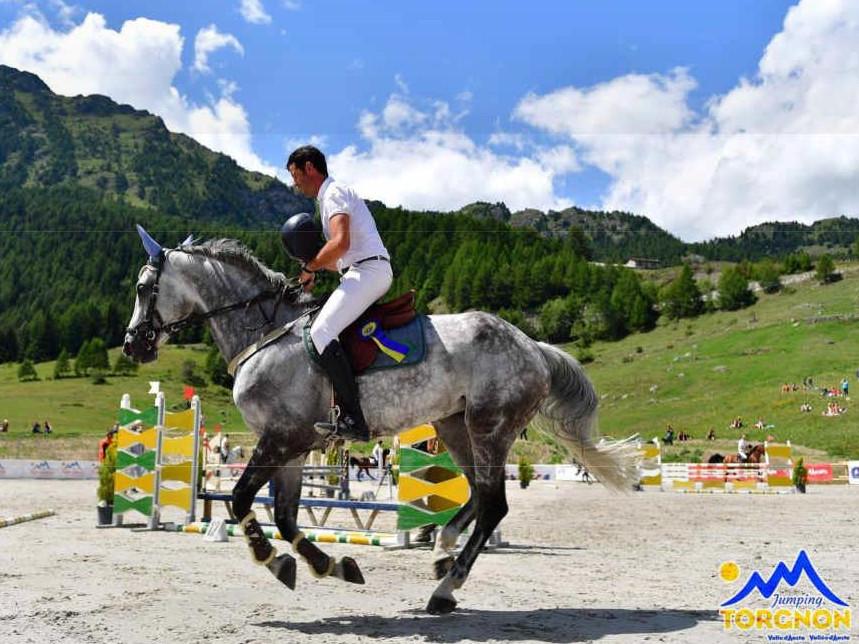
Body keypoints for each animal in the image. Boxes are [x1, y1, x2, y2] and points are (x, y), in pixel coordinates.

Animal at [124, 229, 640, 616]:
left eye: (143, 289)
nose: (133, 345)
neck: (265, 335)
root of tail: (534, 346)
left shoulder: (281, 438)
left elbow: (240, 499)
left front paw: (273, 561)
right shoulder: (291, 444)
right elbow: (286, 516)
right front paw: (328, 565)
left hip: (489, 426)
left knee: (494, 504)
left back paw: (445, 588)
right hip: (455, 426)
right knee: (478, 494)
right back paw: (442, 551)